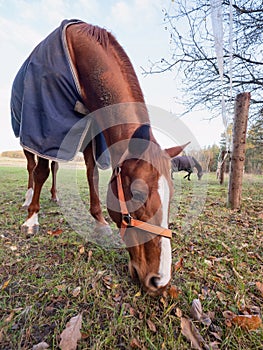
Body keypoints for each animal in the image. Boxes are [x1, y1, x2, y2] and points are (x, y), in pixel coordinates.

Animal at [10, 17, 190, 294]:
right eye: (138, 194)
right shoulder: (45, 126)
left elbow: (91, 174)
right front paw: (31, 219)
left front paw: (100, 222)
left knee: (55, 168)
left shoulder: (92, 131)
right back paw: (28, 199)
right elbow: (40, 172)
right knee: (33, 169)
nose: (159, 280)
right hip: (28, 138)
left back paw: (55, 196)